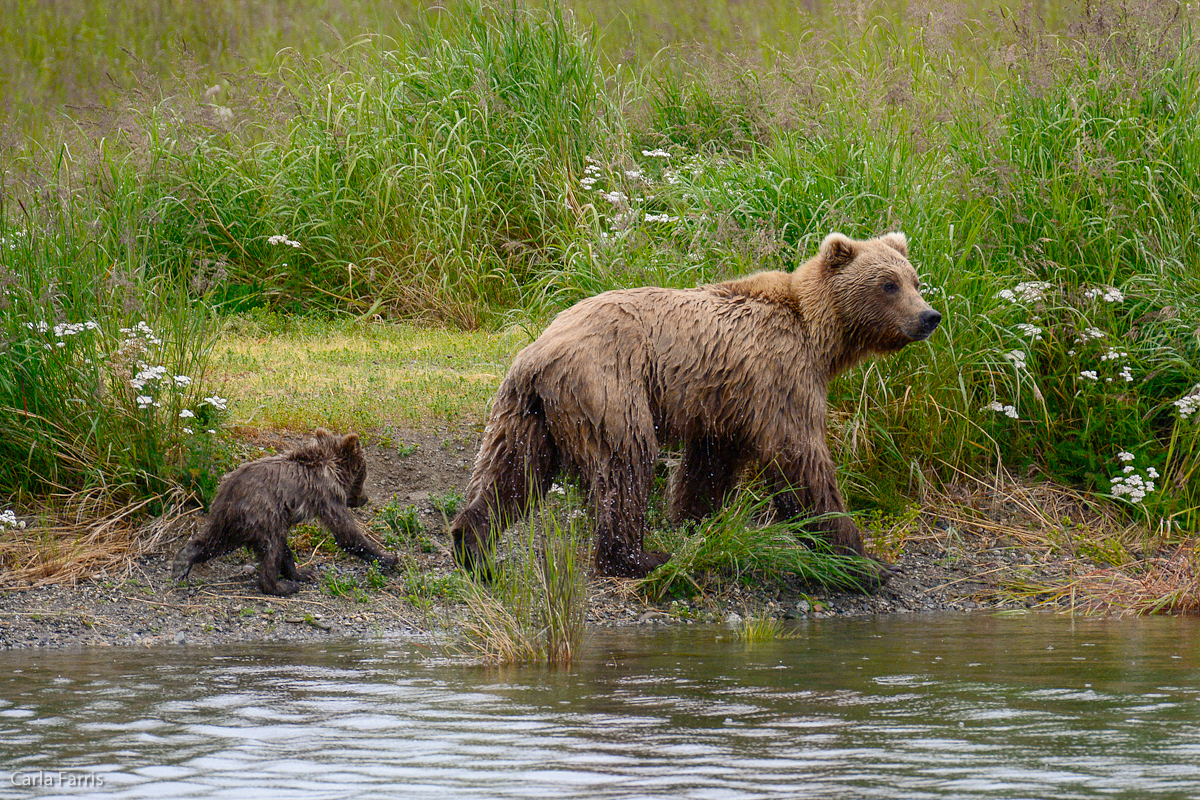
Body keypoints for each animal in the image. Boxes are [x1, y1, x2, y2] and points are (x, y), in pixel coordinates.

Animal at [451, 231, 936, 587]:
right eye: (888, 284)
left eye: (914, 280)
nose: (929, 316)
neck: (820, 336)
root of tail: (540, 351)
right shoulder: (780, 375)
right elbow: (800, 457)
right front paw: (866, 561)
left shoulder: (727, 398)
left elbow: (709, 465)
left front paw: (695, 520)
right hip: (610, 385)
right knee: (625, 463)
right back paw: (637, 556)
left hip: (526, 408)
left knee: (510, 470)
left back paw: (472, 546)